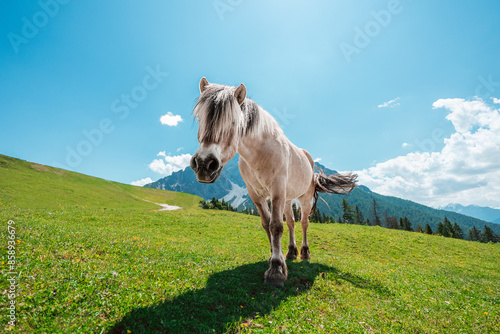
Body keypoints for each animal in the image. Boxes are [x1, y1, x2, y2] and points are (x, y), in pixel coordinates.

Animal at [189, 77, 358, 288]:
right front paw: (276, 257)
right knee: (292, 222)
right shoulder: (256, 195)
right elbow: (266, 224)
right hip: (288, 199)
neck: (260, 153)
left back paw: (304, 253)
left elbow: (276, 226)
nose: (204, 164)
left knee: (303, 223)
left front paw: (276, 270)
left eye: (234, 121)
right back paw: (292, 252)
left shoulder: (277, 190)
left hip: (304, 198)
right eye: (200, 118)